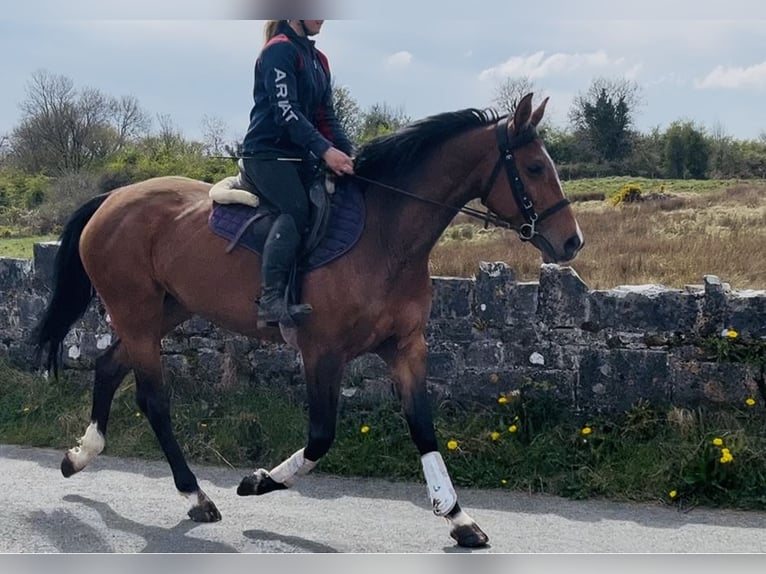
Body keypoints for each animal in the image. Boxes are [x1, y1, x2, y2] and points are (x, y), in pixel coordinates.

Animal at [32, 93, 583, 548]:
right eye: (535, 167)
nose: (571, 242)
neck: (386, 236)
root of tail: (111, 198)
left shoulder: (406, 347)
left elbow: (423, 428)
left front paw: (459, 519)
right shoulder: (322, 353)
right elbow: (321, 435)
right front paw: (259, 481)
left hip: (164, 310)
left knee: (108, 366)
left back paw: (79, 456)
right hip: (139, 314)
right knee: (153, 400)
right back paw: (195, 497)